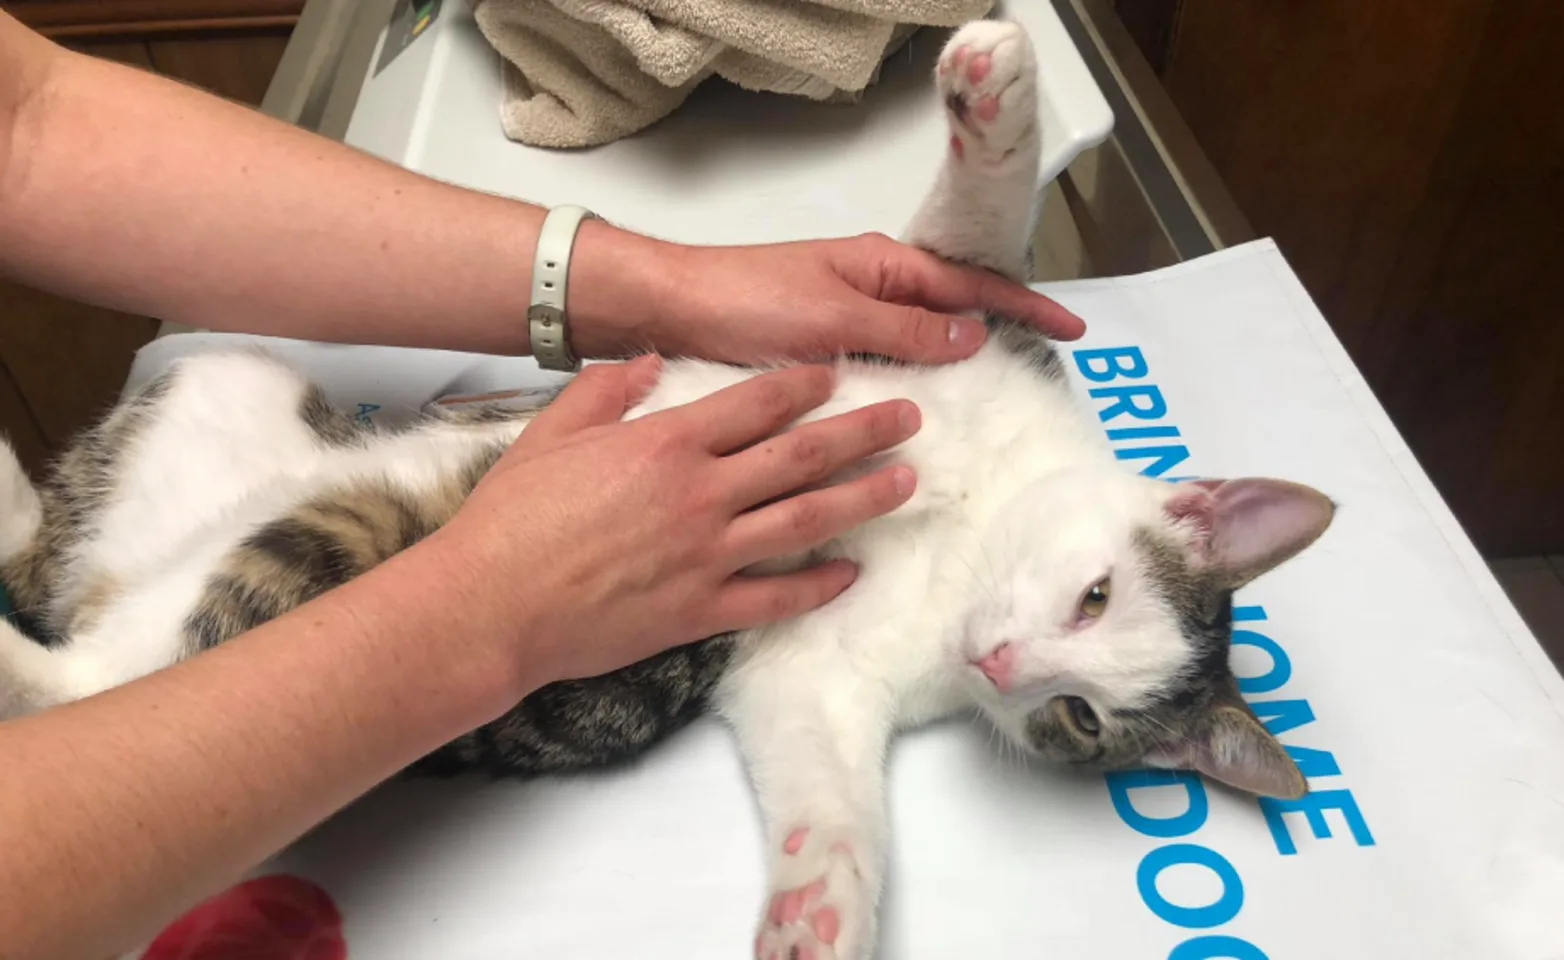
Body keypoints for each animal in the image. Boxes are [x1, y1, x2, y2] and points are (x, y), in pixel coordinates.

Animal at [0, 16, 1332, 960]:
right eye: (1097, 597)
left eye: (1080, 721)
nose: (1009, 667)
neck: (967, 525)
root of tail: (112, 576)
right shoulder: (951, 329)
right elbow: (970, 242)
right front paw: (999, 93)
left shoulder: (805, 676)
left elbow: (831, 798)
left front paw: (821, 908)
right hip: (236, 384)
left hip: (273, 534)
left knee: (80, 677)